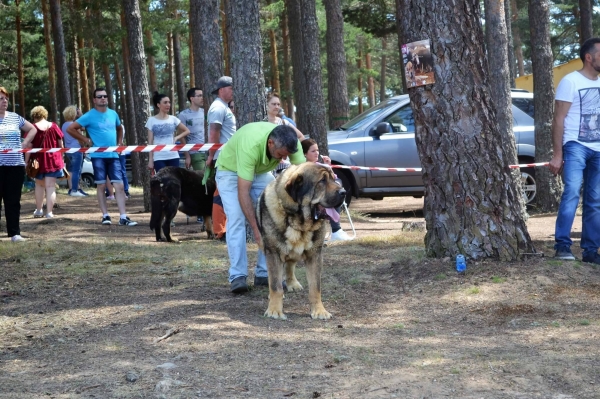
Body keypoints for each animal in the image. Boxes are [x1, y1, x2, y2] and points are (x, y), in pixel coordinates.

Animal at [255, 162, 344, 322]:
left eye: (334, 179)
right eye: (322, 181)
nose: (344, 192)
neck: (298, 221)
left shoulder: (315, 255)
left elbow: (315, 287)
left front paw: (319, 311)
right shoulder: (273, 253)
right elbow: (275, 285)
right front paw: (274, 310)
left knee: (290, 265)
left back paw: (292, 283)